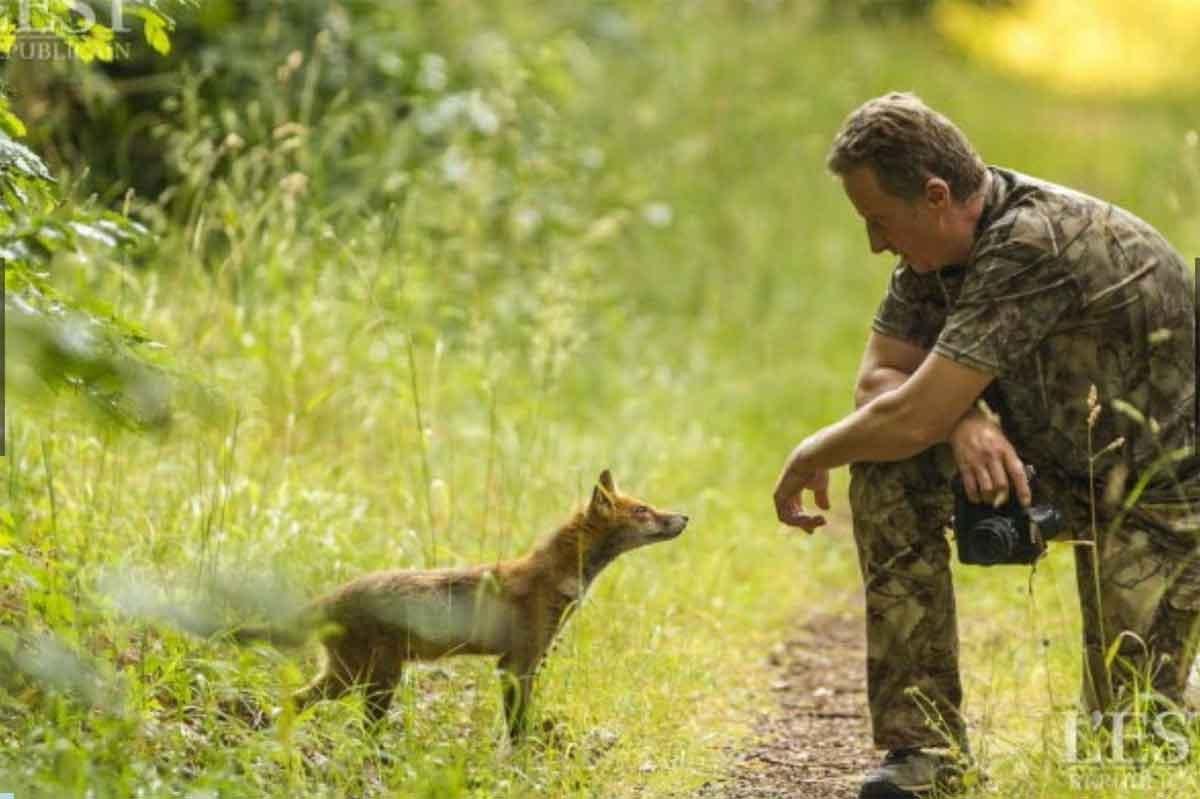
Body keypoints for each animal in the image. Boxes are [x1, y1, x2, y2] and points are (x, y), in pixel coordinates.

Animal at [229, 467, 691, 739]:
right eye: (644, 510)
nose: (685, 517)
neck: (554, 578)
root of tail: (330, 596)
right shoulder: (516, 664)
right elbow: (517, 731)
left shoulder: (520, 663)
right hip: (374, 679)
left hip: (349, 677)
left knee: (293, 703)